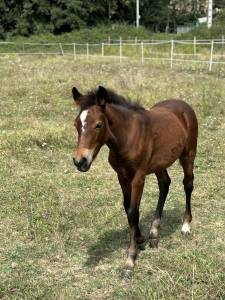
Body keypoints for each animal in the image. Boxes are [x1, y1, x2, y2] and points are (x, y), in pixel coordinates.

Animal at [71, 85, 197, 274]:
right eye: (76, 124)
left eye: (98, 125)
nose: (80, 162)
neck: (128, 137)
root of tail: (184, 104)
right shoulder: (122, 176)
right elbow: (127, 207)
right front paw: (140, 240)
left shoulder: (138, 177)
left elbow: (133, 211)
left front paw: (130, 259)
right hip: (160, 163)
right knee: (165, 184)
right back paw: (154, 234)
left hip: (188, 154)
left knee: (188, 184)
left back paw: (186, 225)